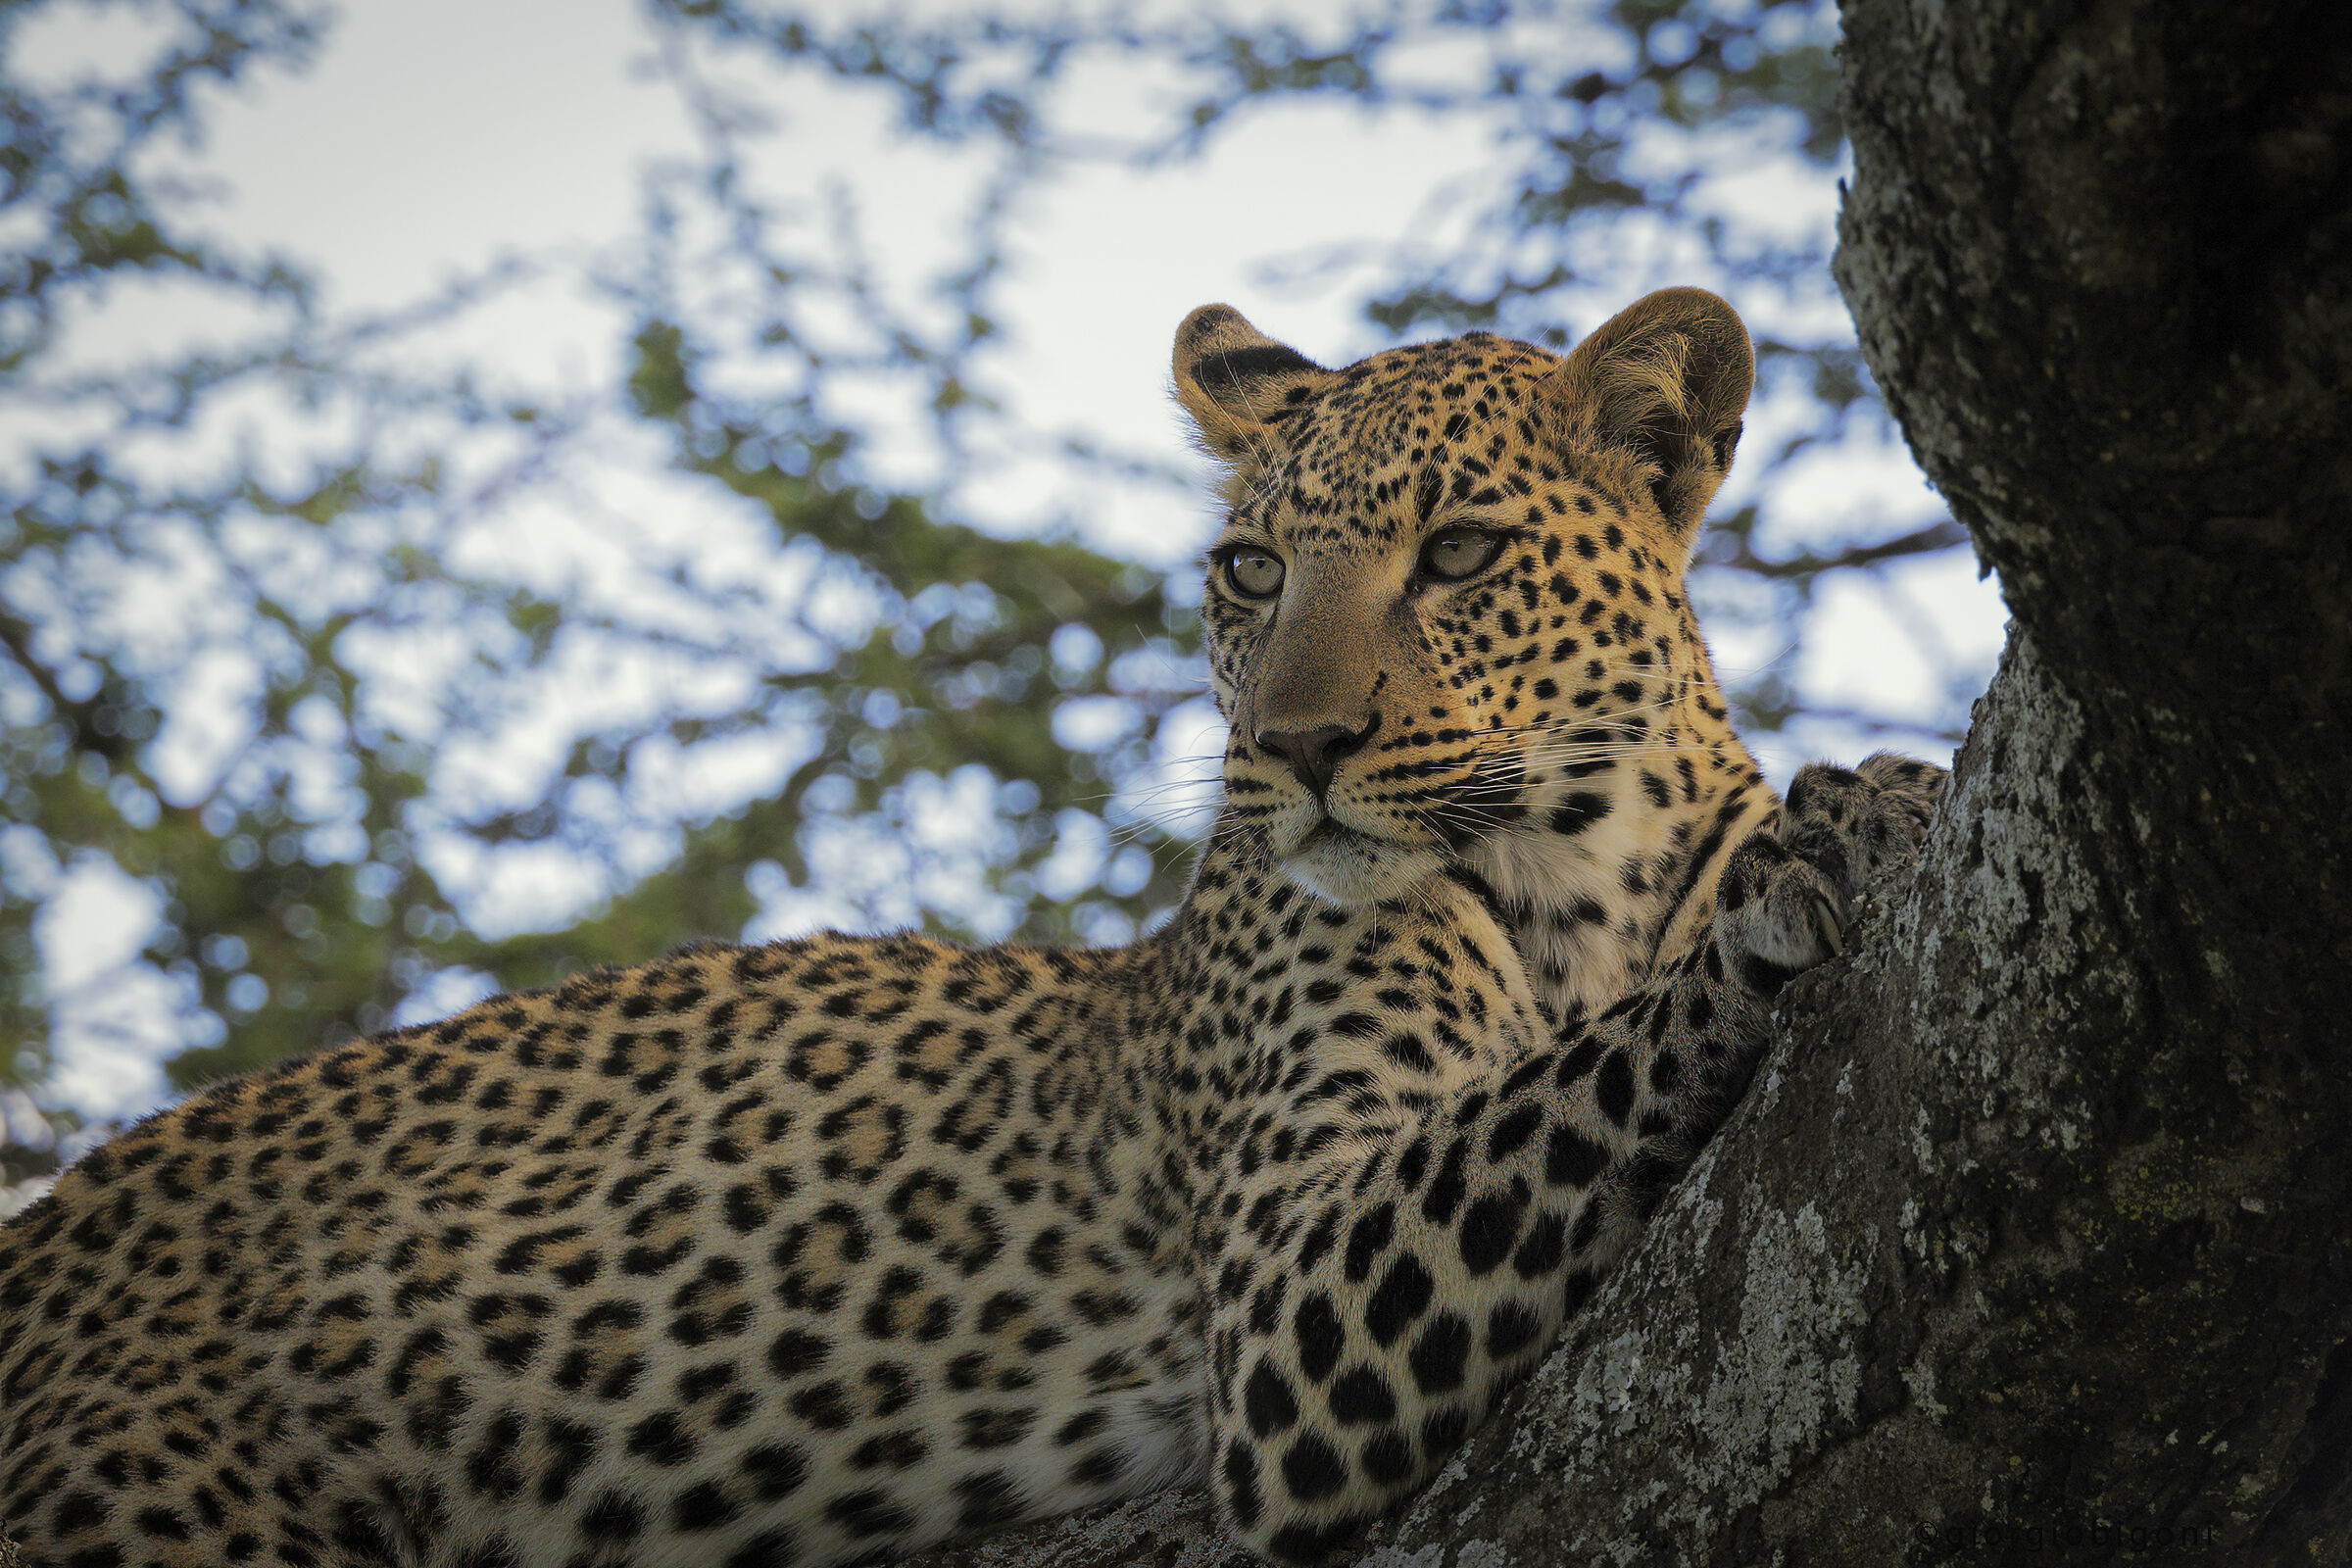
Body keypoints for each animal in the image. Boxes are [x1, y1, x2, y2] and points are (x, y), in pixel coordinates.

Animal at [0, 287, 1945, 1568]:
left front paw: (1852, 805)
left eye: (1459, 556)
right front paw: (1811, 868)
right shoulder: (1289, 1299)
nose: (1295, 750)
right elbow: (1579, 1070)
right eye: (1251, 574)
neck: (1583, 875)